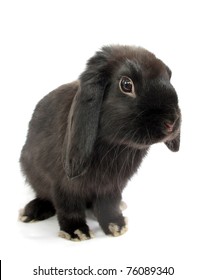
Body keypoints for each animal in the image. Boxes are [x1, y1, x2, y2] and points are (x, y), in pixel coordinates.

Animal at [18, 45, 180, 241]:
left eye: (169, 77)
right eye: (126, 85)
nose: (171, 122)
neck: (116, 145)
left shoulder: (112, 187)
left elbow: (108, 205)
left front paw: (116, 225)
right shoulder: (62, 185)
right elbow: (68, 207)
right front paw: (76, 231)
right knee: (45, 196)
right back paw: (32, 212)